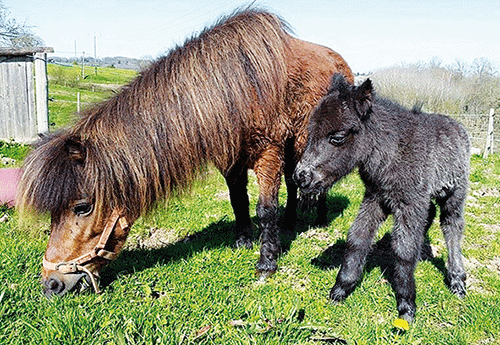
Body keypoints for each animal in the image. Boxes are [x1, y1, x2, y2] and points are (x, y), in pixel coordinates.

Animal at [15, 9, 352, 296]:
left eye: (82, 207)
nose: (51, 284)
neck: (235, 86)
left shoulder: (267, 151)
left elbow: (265, 209)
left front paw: (266, 262)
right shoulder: (230, 160)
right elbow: (238, 201)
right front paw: (244, 240)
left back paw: (318, 217)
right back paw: (291, 222)